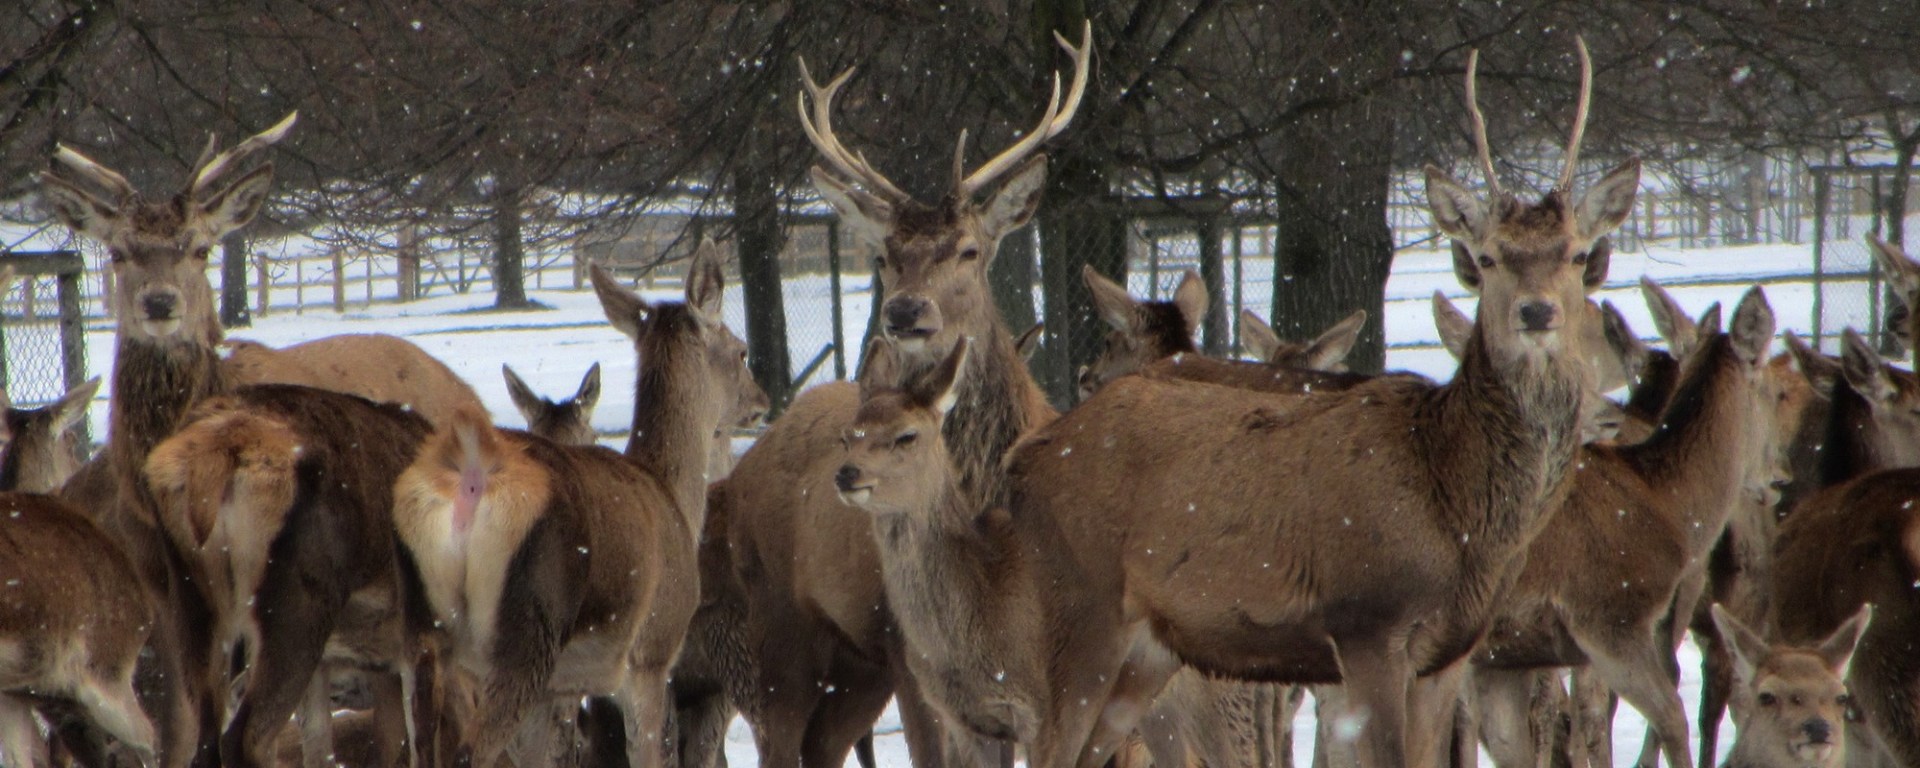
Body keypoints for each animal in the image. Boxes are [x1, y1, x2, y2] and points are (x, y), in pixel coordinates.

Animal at [392, 249, 763, 768]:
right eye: (742, 350)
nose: (761, 401)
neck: (676, 501)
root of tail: (468, 481)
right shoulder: (651, 654)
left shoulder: (559, 689)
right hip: (526, 632)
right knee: (469, 752)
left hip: (418, 635)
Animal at [700, 22, 1088, 768]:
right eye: (883, 255)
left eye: (969, 249)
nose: (905, 311)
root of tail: (743, 465)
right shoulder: (910, 650)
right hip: (781, 628)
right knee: (780, 740)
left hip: (857, 667)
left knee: (823, 743)